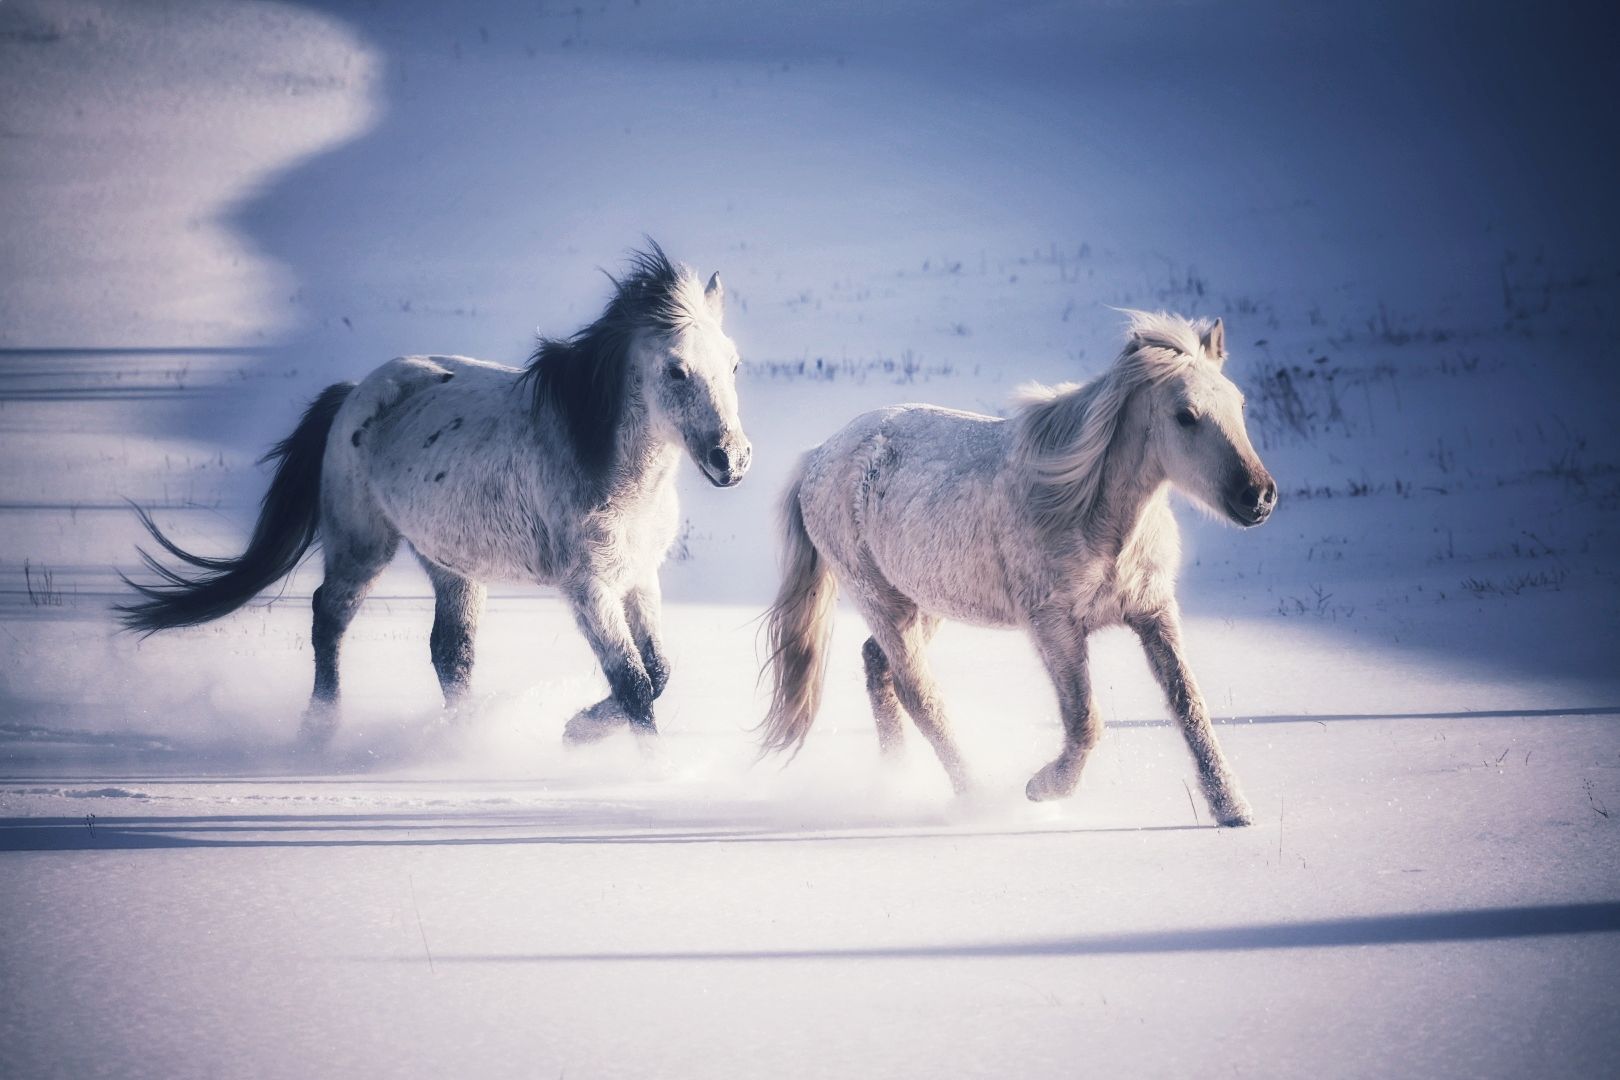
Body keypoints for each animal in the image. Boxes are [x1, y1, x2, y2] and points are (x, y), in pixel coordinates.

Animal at [123, 244, 748, 748]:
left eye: (734, 363)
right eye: (676, 371)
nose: (732, 460)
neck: (608, 468)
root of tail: (357, 391)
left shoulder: (639, 577)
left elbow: (659, 673)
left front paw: (579, 732)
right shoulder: (589, 588)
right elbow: (635, 684)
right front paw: (635, 765)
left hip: (452, 567)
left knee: (451, 652)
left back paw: (460, 738)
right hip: (362, 546)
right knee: (330, 616)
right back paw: (321, 731)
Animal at [758, 312, 1276, 829]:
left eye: (1239, 404)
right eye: (1185, 415)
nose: (1258, 496)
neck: (1091, 514)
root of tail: (819, 454)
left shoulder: (1154, 612)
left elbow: (1189, 707)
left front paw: (1232, 809)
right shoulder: (1055, 626)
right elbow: (1085, 721)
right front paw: (1042, 789)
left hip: (923, 601)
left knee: (877, 665)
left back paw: (896, 779)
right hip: (881, 600)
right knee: (921, 695)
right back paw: (976, 797)